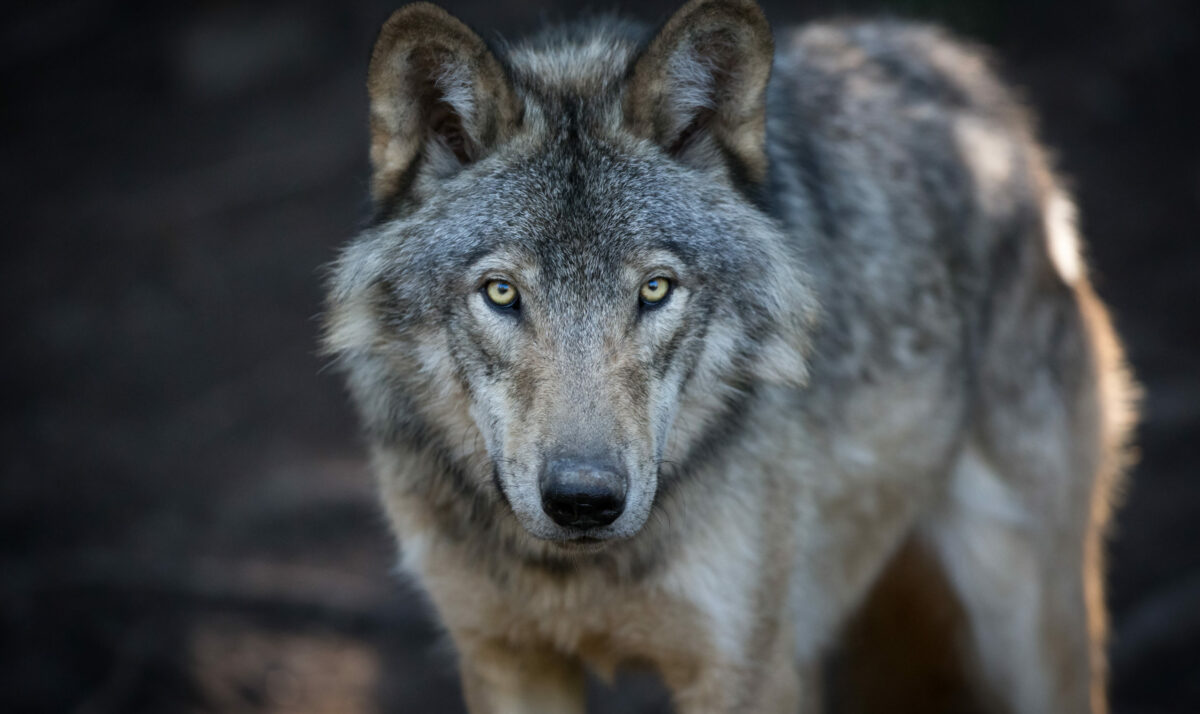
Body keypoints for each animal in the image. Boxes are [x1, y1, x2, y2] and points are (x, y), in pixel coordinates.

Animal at [324, 2, 1137, 710]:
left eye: (655, 289)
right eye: (501, 293)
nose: (584, 500)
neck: (576, 572)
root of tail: (958, 67)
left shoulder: (742, 668)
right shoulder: (505, 659)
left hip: (1025, 625)